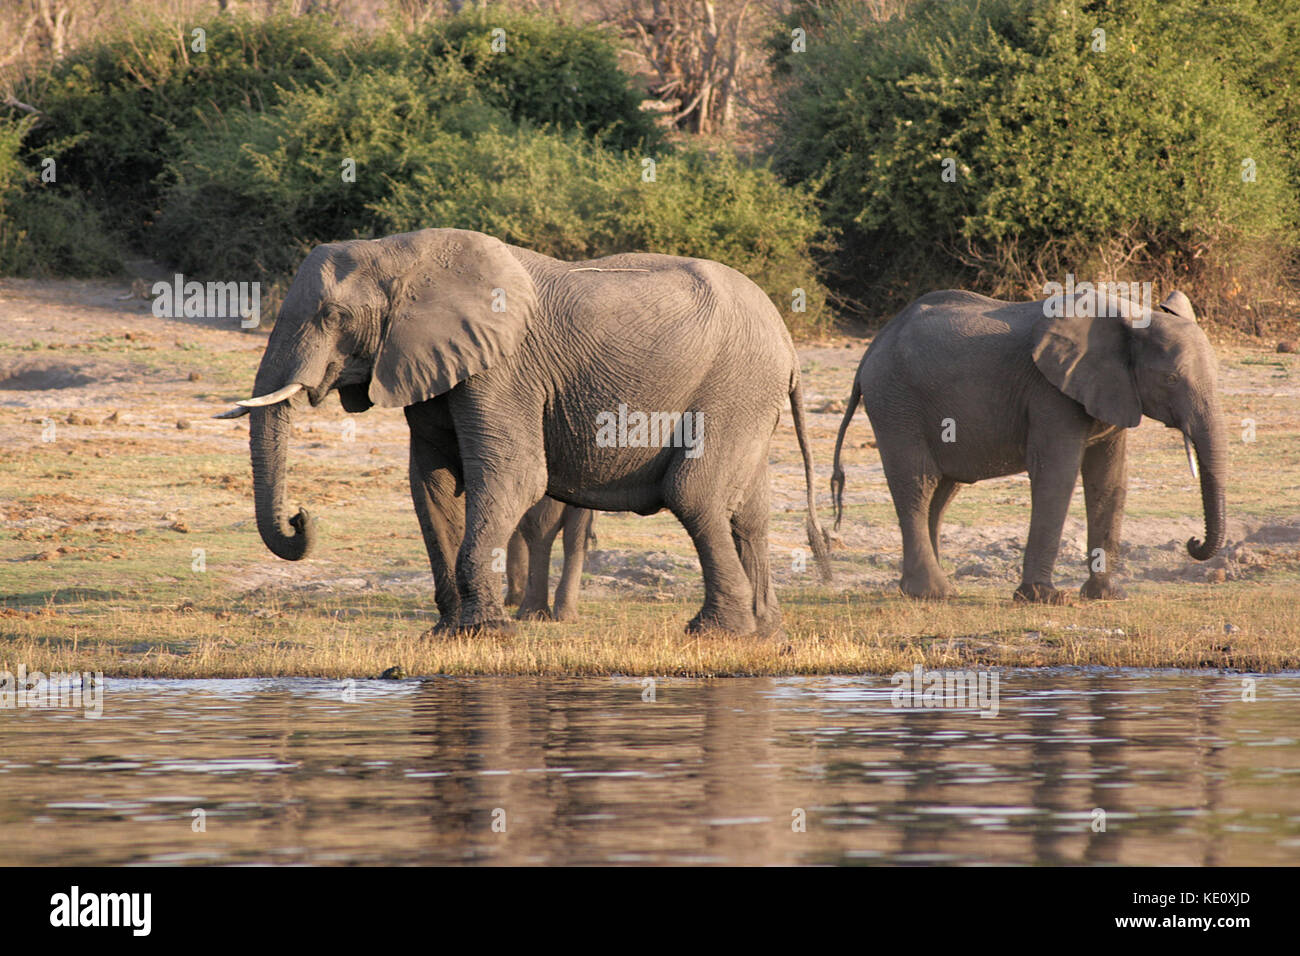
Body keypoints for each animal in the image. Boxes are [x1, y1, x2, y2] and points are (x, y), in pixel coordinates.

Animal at [832, 287, 1227, 606]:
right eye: (1171, 379)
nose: (1192, 541)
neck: (1130, 318)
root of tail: (870, 350)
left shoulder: (1113, 392)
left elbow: (1110, 480)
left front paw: (1108, 596)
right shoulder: (1050, 393)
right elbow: (1057, 474)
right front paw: (1045, 598)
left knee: (941, 492)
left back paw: (924, 590)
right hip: (896, 403)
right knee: (919, 483)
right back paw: (933, 593)